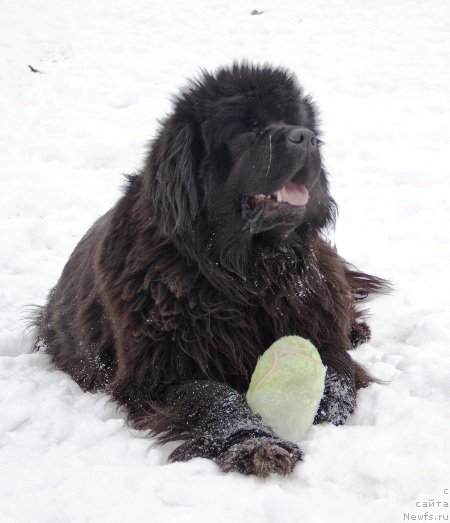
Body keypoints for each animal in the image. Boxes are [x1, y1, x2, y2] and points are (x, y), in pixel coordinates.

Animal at [33, 63, 388, 476]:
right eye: (247, 129)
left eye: (296, 120)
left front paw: (327, 408)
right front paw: (256, 445)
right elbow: (215, 397)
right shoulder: (162, 373)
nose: (306, 138)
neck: (249, 275)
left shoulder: (315, 324)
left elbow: (336, 369)